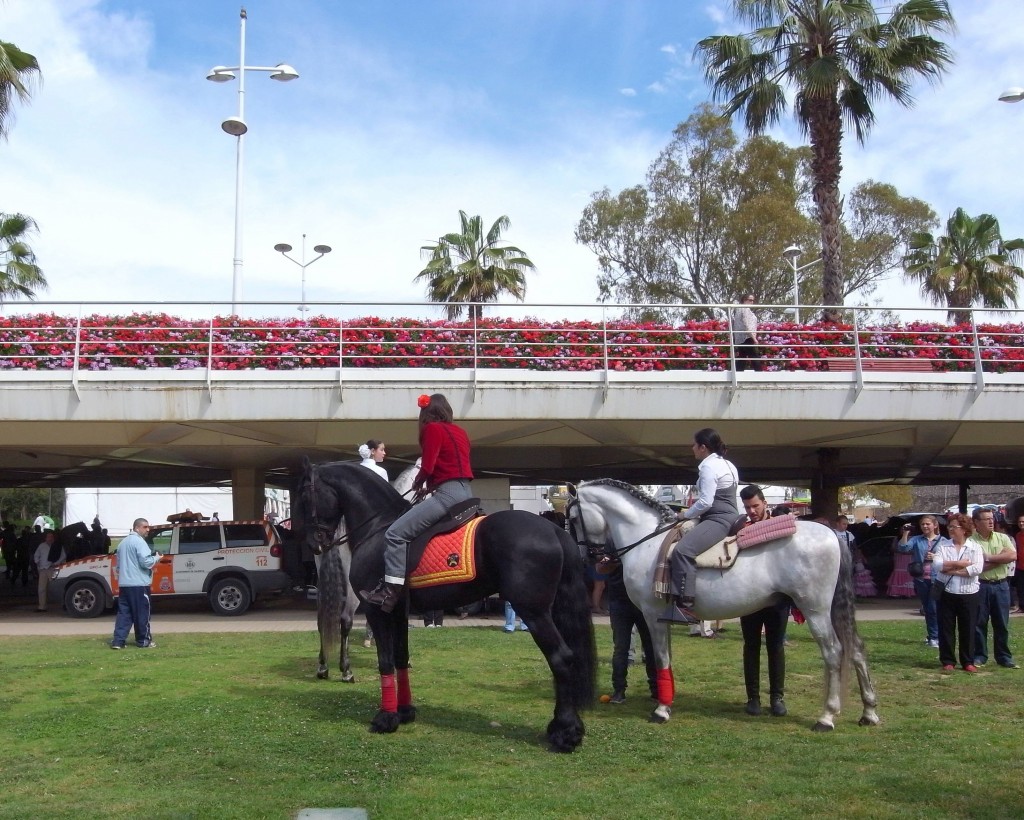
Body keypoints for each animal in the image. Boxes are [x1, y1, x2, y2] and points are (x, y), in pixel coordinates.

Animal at [299, 456, 598, 753]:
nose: (314, 544)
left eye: (304, 496)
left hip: (534, 612)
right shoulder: (399, 610)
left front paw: (386, 718)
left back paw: (565, 733)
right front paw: (404, 712)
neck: (379, 527)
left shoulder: (377, 610)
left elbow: (385, 661)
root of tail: (554, 530)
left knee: (561, 657)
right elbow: (401, 657)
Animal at [561, 477, 880, 732]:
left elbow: (661, 659)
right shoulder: (662, 618)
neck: (648, 541)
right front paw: (667, 701)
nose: (585, 557)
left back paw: (827, 717)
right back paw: (869, 713)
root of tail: (832, 534)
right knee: (857, 650)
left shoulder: (653, 616)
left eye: (573, 518)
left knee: (834, 652)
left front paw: (661, 710)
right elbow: (667, 661)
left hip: (815, 610)